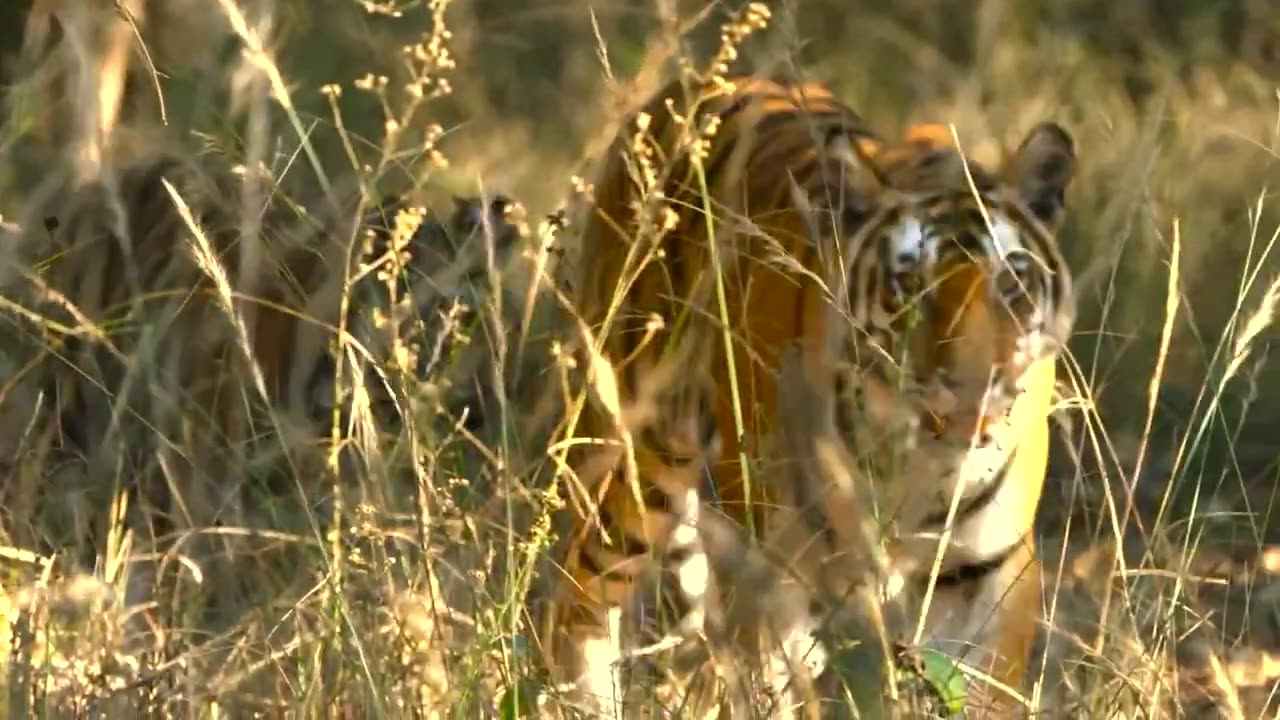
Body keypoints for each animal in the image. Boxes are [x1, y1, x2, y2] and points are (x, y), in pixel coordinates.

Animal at [545, 73, 1075, 712]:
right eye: (910, 286)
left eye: (1013, 282)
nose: (969, 393)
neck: (918, 466)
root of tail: (686, 86)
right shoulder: (778, 577)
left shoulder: (988, 572)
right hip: (637, 458)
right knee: (580, 597)